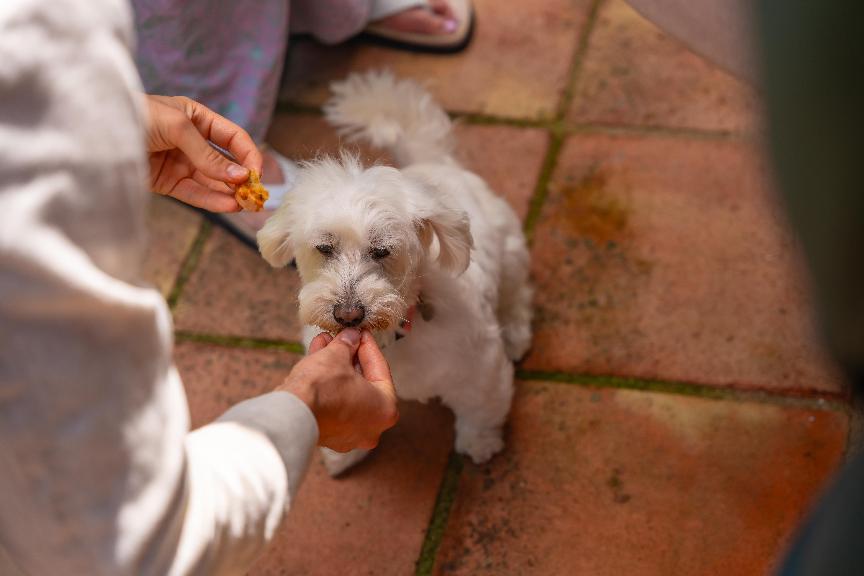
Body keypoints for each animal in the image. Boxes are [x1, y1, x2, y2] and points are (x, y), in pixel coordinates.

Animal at [255, 71, 532, 472]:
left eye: (382, 250)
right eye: (324, 248)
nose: (348, 314)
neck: (396, 335)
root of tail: (435, 163)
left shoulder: (480, 368)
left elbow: (481, 410)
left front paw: (479, 443)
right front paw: (343, 453)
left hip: (510, 253)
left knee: (517, 294)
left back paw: (516, 332)